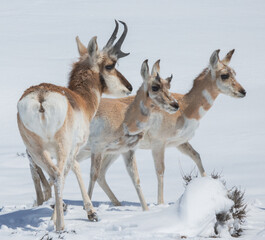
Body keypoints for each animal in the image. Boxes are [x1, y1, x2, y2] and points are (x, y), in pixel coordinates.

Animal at [17, 20, 131, 231]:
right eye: (110, 65)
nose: (129, 87)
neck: (80, 100)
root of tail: (41, 97)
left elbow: (73, 168)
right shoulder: (74, 146)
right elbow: (72, 170)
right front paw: (89, 212)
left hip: (35, 149)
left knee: (49, 172)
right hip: (61, 146)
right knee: (58, 174)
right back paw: (60, 226)